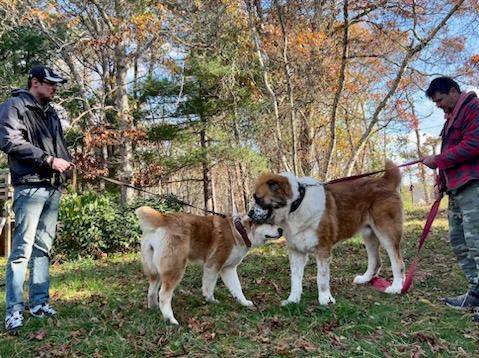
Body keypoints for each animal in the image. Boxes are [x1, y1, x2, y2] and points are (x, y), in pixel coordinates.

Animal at [135, 204, 284, 324]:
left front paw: (243, 302)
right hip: (175, 269)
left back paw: (153, 308)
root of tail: (163, 218)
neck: (239, 230)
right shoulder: (213, 266)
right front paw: (210, 300)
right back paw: (170, 319)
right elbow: (209, 287)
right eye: (270, 223)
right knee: (163, 295)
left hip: (155, 271)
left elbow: (237, 288)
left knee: (152, 291)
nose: (281, 230)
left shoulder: (228, 269)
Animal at [249, 161, 404, 306]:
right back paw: (365, 279)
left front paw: (325, 299)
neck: (297, 205)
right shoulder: (296, 251)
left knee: (397, 262)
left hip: (386, 233)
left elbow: (321, 277)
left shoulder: (322, 248)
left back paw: (396, 287)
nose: (250, 214)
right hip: (369, 235)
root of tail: (384, 180)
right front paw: (293, 299)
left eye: (258, 199)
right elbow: (295, 278)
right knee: (375, 261)